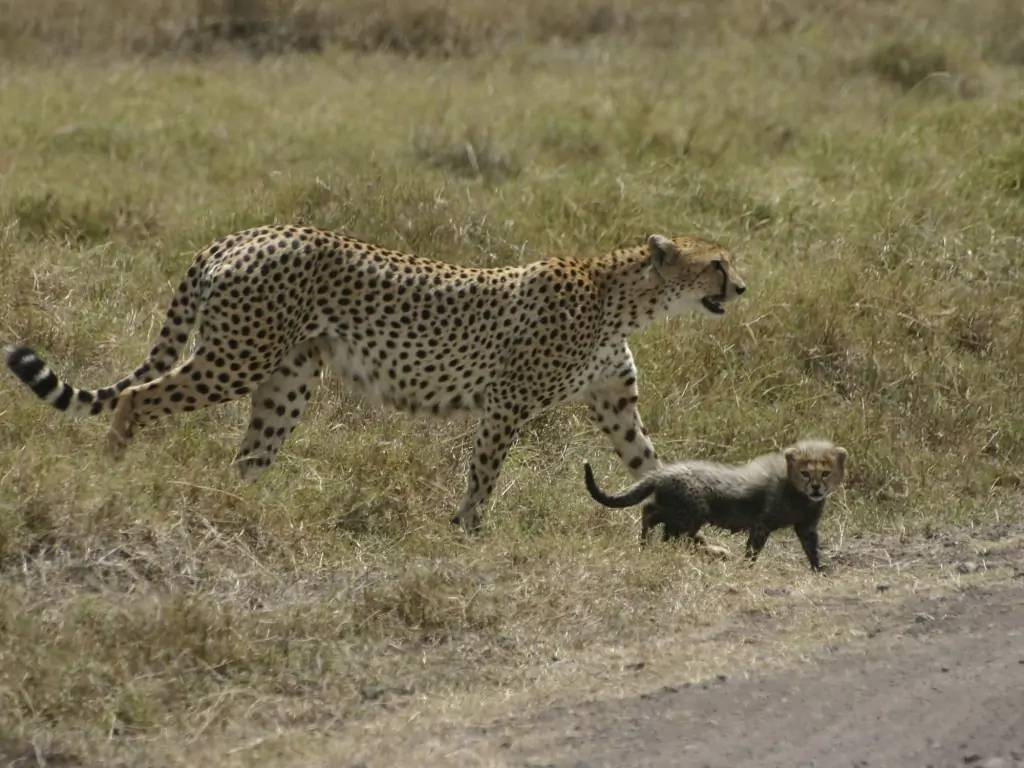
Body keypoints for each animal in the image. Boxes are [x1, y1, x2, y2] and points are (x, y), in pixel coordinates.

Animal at [4, 225, 749, 532]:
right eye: (716, 263)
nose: (741, 287)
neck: (627, 296)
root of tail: (247, 232)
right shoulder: (507, 403)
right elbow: (484, 474)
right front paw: (467, 532)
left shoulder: (614, 403)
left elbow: (653, 463)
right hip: (238, 357)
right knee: (134, 397)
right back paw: (110, 476)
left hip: (286, 381)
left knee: (246, 458)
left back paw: (239, 511)